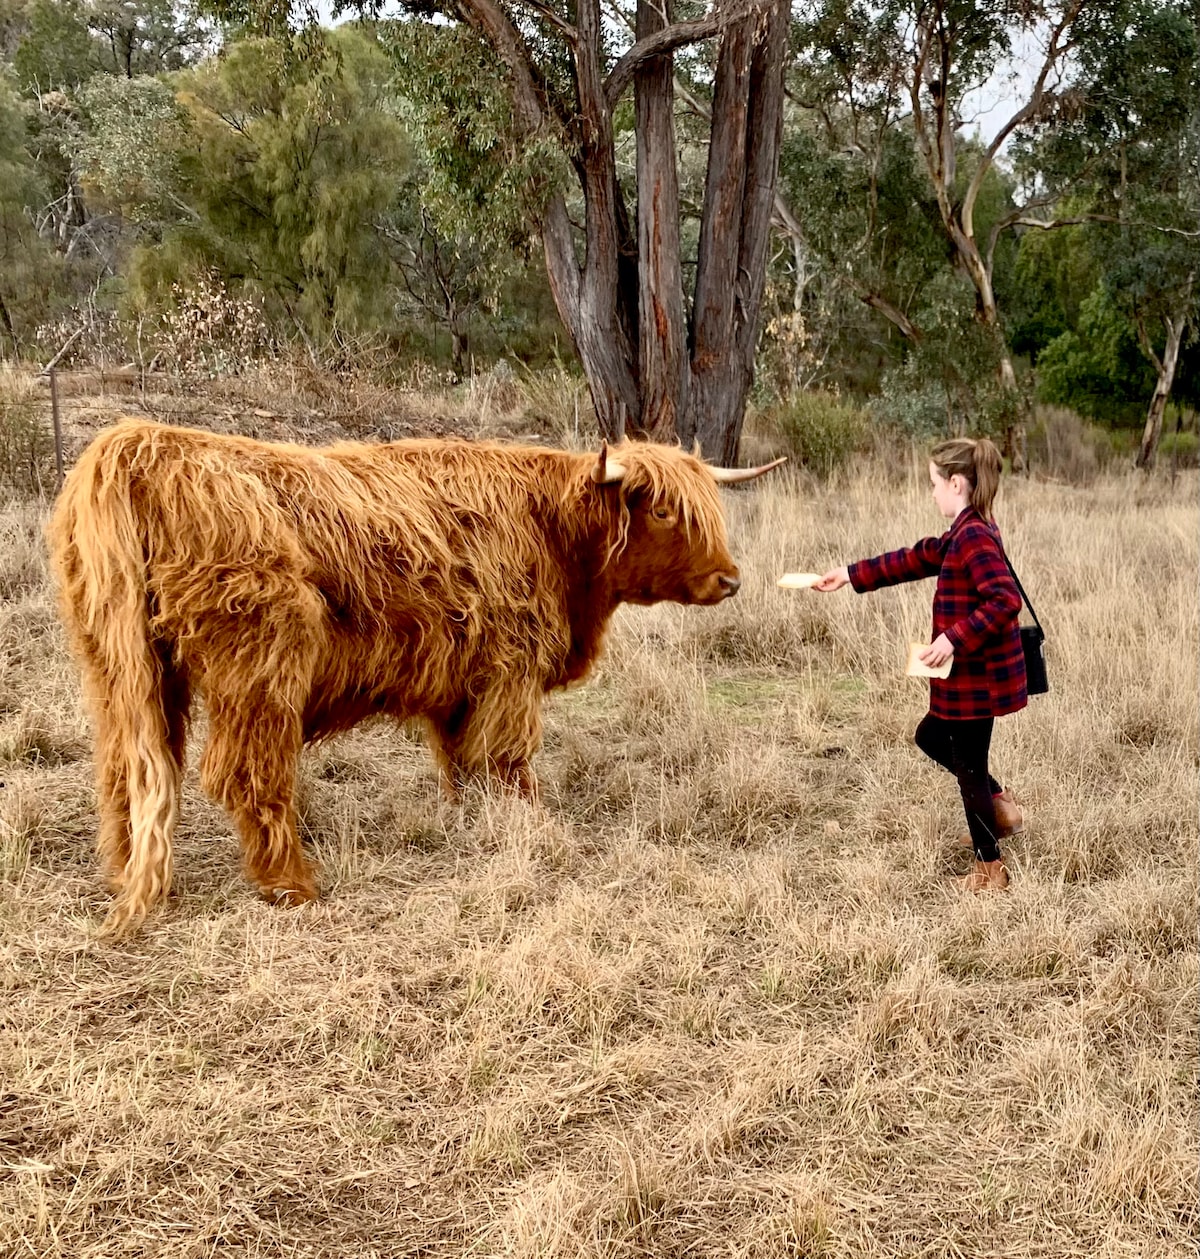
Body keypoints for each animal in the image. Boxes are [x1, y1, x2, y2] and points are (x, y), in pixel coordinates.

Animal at [46, 417, 780, 931]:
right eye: (663, 510)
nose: (731, 579)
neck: (556, 536)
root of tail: (140, 446)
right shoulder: (510, 668)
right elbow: (509, 758)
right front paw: (535, 826)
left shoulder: (461, 680)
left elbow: (461, 758)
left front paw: (470, 817)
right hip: (259, 668)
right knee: (247, 772)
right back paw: (292, 884)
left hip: (120, 670)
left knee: (125, 770)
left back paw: (122, 871)